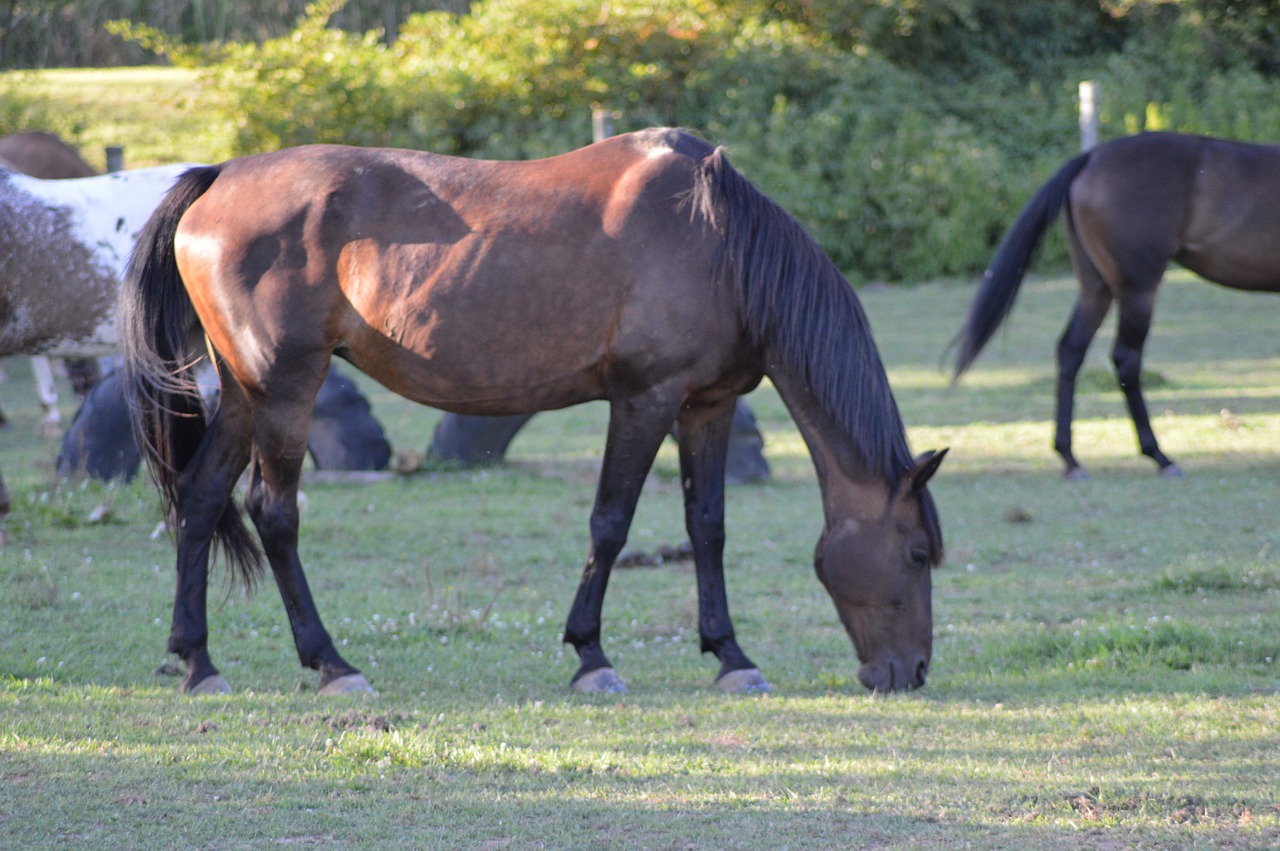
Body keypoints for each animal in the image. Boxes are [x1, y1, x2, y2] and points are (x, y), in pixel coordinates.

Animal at [120, 127, 947, 696]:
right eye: (915, 553)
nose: (910, 670)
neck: (719, 243)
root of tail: (219, 177)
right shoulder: (643, 400)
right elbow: (610, 523)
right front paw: (591, 655)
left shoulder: (706, 405)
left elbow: (706, 526)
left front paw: (731, 656)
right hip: (285, 391)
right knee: (274, 511)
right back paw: (331, 662)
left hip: (243, 394)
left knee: (201, 498)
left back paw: (198, 661)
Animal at [952, 131, 1280, 478]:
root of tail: (1092, 157)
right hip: (1137, 292)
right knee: (1126, 360)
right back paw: (1158, 456)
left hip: (1096, 289)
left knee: (1071, 350)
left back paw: (1070, 457)